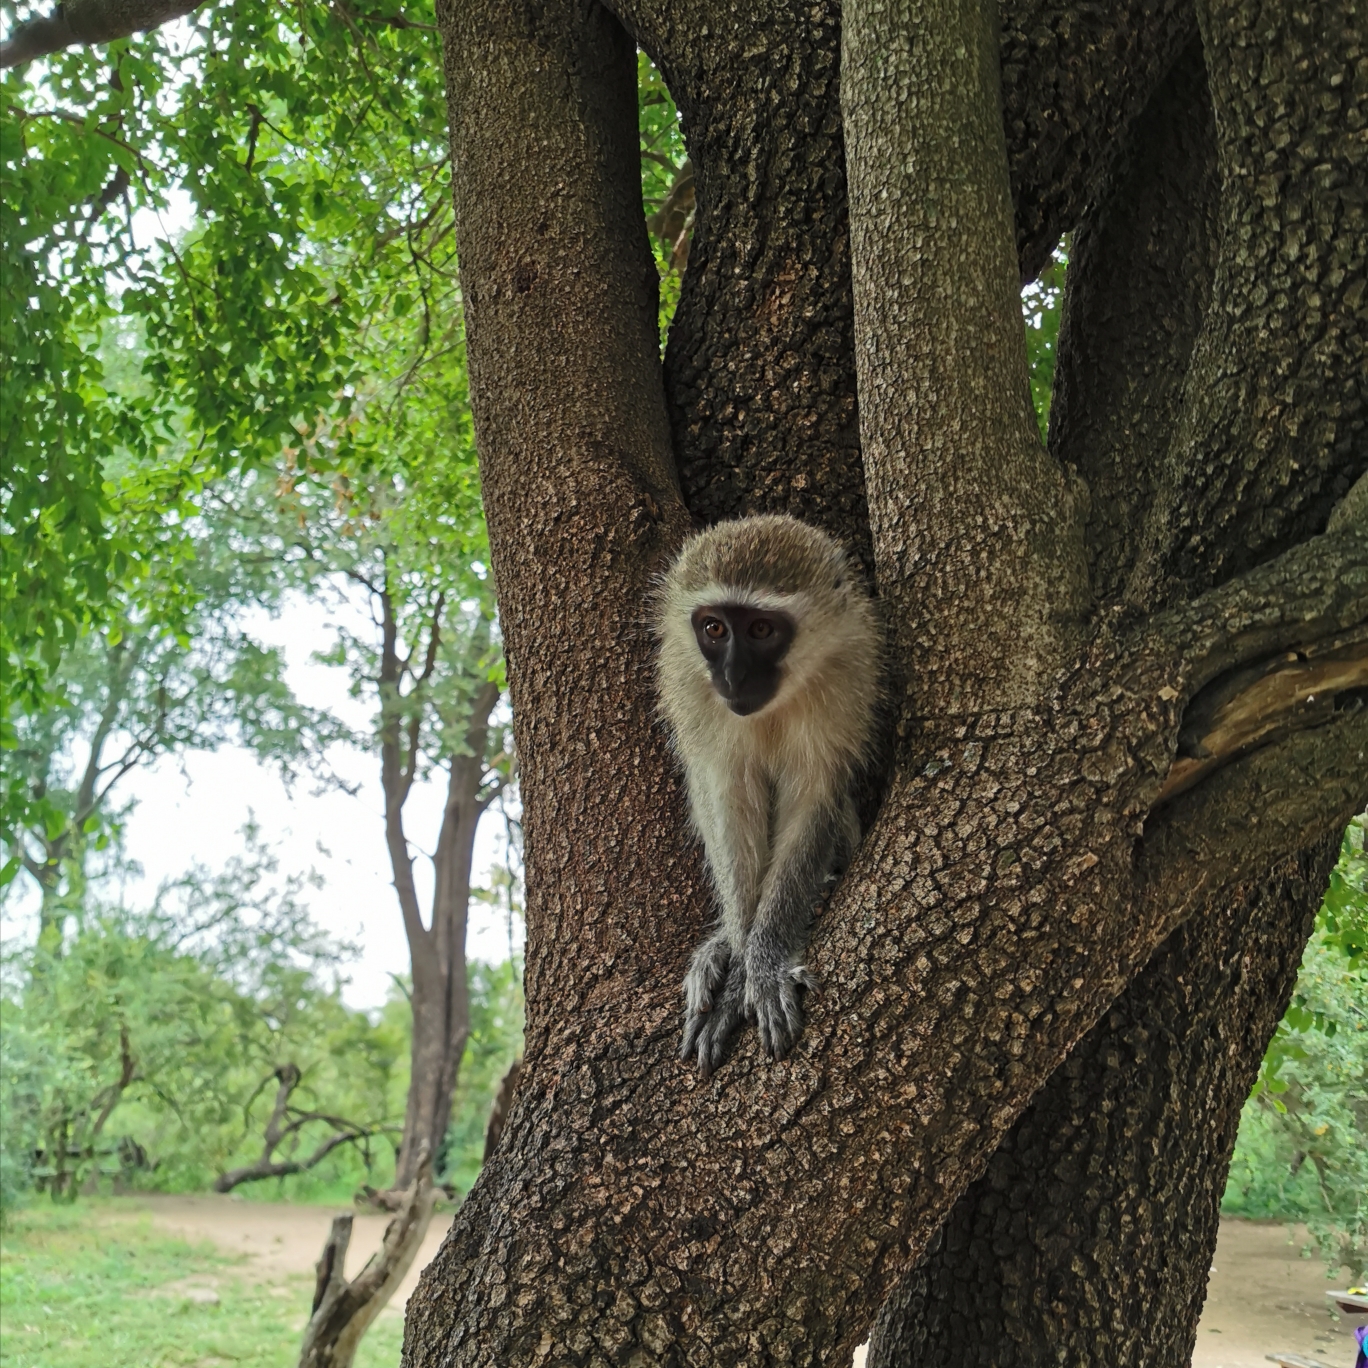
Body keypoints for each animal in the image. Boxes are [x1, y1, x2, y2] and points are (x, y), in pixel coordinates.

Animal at [653, 514, 886, 1077]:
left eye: (761, 630)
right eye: (714, 628)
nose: (733, 676)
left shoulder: (850, 674)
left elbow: (815, 798)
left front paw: (761, 964)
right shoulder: (690, 685)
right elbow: (727, 795)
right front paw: (740, 963)